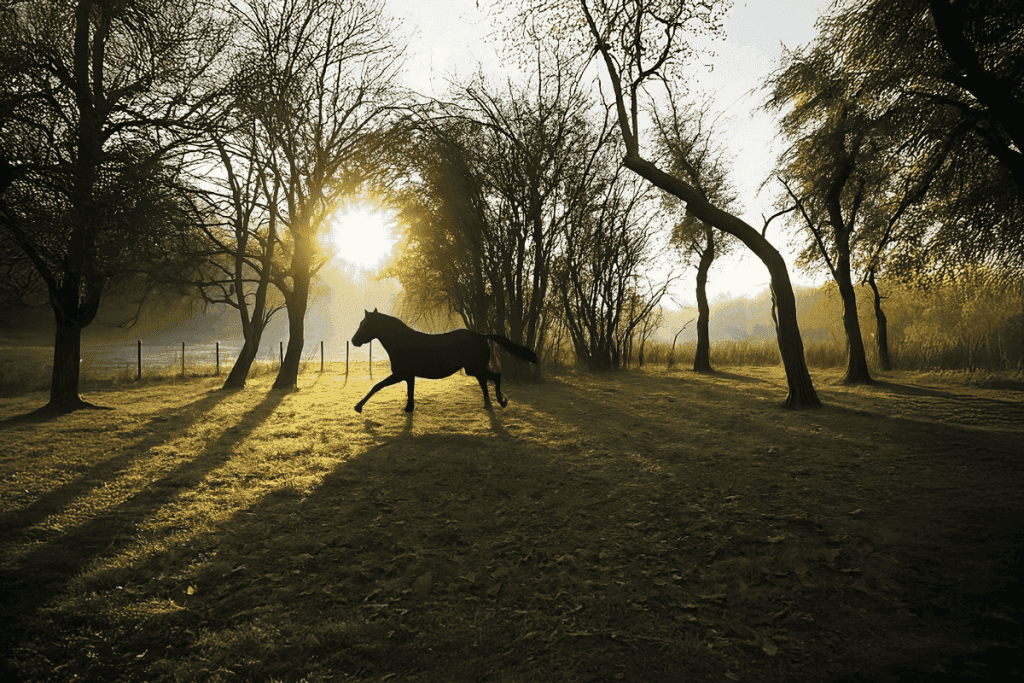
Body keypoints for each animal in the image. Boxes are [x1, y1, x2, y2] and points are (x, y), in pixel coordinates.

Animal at [351, 309, 538, 413]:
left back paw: (501, 401)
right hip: (473, 369)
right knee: (484, 381)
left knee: (495, 377)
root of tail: (482, 336)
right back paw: (488, 404)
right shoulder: (408, 375)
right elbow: (409, 391)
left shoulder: (400, 374)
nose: (353, 341)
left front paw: (358, 407)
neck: (402, 342)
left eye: (364, 324)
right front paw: (409, 408)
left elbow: (377, 386)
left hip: (474, 368)